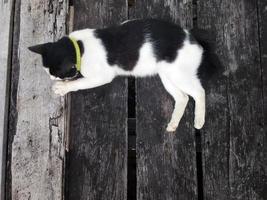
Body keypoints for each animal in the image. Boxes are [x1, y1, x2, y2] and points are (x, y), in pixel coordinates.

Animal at [28, 18, 220, 131]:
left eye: (58, 75)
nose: (53, 79)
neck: (79, 47)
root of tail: (192, 38)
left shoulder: (102, 76)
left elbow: (79, 82)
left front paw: (62, 88)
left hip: (179, 74)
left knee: (199, 92)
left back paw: (199, 120)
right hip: (167, 75)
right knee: (183, 98)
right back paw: (173, 124)